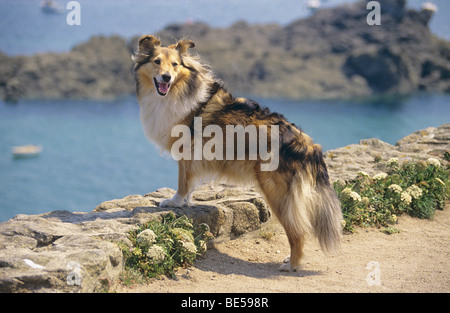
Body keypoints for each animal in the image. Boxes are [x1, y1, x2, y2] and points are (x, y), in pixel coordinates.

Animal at [132, 34, 342, 270]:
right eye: (157, 61)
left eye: (175, 64)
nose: (166, 77)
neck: (180, 90)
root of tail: (307, 144)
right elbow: (190, 182)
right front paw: (186, 202)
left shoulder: (186, 151)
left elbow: (183, 181)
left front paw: (175, 202)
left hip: (277, 193)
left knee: (298, 232)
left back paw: (292, 265)